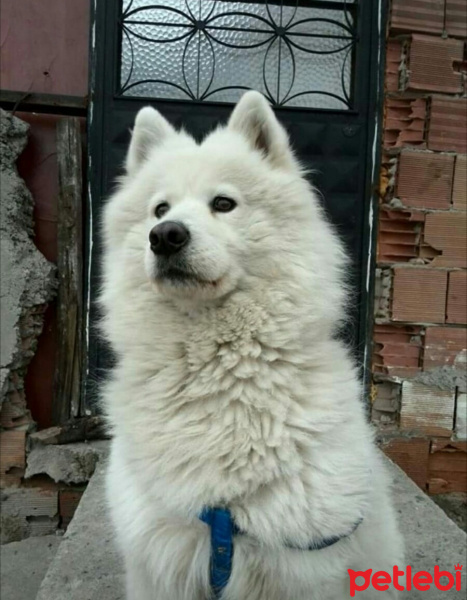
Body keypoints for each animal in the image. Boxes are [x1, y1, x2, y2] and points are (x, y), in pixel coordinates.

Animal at [100, 90, 404, 600]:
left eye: (224, 203)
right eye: (159, 209)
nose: (165, 236)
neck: (217, 371)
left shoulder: (303, 564)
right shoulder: (161, 558)